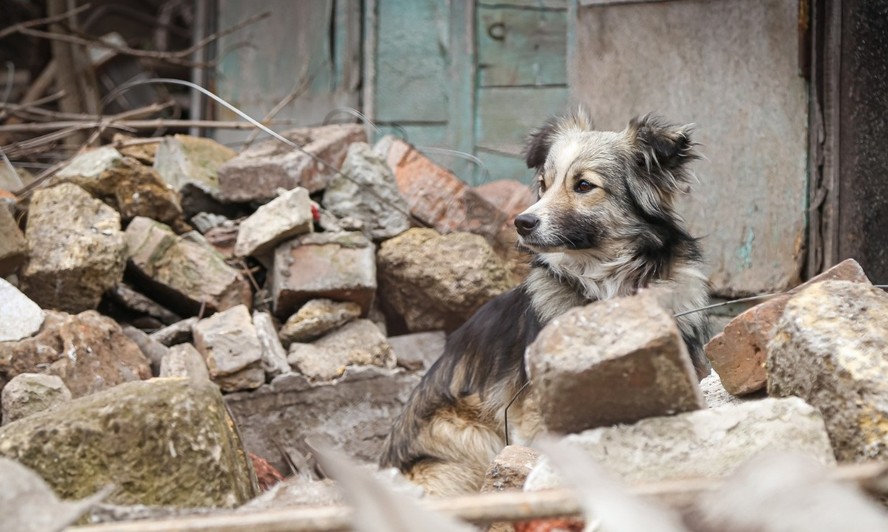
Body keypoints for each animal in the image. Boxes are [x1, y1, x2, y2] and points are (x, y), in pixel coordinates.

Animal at [378, 111, 712, 494]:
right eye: (543, 183)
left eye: (583, 185)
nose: (521, 222)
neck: (606, 284)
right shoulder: (533, 407)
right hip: (466, 430)